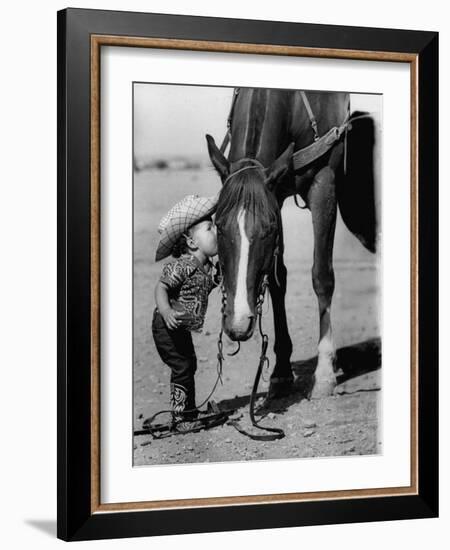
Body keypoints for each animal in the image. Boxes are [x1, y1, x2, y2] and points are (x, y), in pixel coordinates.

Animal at [206, 86, 378, 398]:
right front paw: (281, 371)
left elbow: (322, 277)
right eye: (218, 225)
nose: (238, 323)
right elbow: (277, 280)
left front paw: (324, 373)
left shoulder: (324, 183)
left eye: (269, 228)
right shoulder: (277, 192)